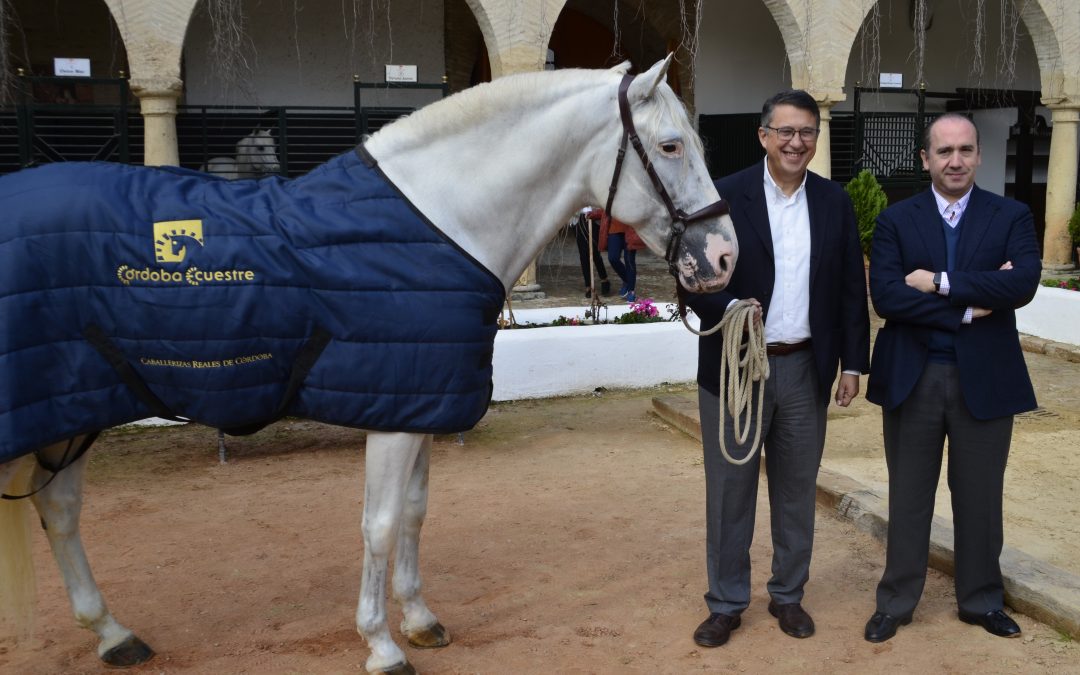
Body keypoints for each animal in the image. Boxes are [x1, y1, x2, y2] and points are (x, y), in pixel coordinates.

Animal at [0, 54, 738, 673]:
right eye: (671, 146)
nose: (725, 254)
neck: (441, 220)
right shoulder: (392, 416)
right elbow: (379, 525)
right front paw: (381, 645)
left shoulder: (420, 408)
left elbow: (413, 513)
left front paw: (419, 619)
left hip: (72, 413)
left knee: (58, 511)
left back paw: (112, 633)